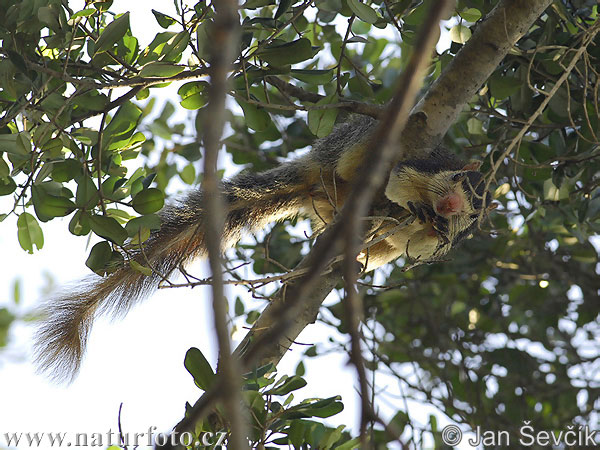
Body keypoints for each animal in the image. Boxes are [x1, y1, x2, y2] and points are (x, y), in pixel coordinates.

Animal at [34, 115, 492, 380]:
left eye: (473, 213)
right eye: (457, 181)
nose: (449, 208)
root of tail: (314, 177)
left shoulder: (427, 243)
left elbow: (416, 245)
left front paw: (428, 225)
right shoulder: (421, 168)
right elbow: (400, 181)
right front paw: (414, 204)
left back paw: (357, 253)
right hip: (350, 147)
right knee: (355, 161)